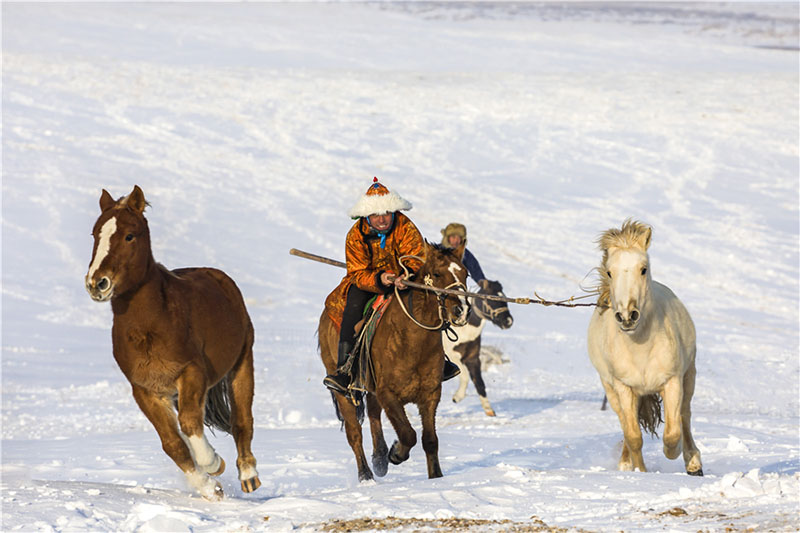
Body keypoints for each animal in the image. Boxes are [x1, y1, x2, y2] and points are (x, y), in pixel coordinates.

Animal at [318, 243, 468, 480]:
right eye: (437, 274)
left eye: (466, 273)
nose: (461, 310)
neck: (412, 341)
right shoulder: (388, 394)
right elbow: (408, 434)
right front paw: (396, 453)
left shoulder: (430, 393)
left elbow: (430, 440)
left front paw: (435, 477)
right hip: (342, 388)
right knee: (354, 432)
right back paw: (366, 474)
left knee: (373, 415)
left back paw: (379, 459)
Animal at [444, 278, 512, 416]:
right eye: (492, 299)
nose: (509, 321)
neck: (464, 331)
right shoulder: (452, 357)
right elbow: (465, 376)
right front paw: (457, 397)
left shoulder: (473, 358)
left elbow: (479, 382)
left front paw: (489, 410)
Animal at [584, 218, 704, 476]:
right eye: (610, 272)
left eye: (643, 269)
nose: (627, 316)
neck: (640, 348)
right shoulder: (624, 388)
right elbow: (633, 436)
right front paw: (639, 471)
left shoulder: (672, 382)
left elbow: (673, 432)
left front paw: (675, 453)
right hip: (612, 390)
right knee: (626, 424)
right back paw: (625, 463)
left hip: (689, 377)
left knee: (685, 416)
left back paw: (694, 464)